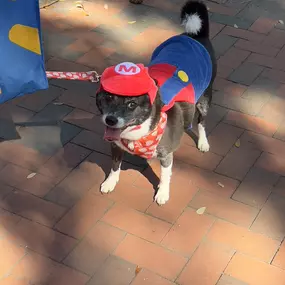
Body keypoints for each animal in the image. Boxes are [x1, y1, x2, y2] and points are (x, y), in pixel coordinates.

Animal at [95, 0, 215, 204]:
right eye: (109, 97)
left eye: (131, 104)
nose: (110, 120)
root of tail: (194, 36)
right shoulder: (115, 146)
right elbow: (115, 166)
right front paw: (110, 182)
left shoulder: (166, 155)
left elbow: (166, 176)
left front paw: (163, 193)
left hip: (205, 98)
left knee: (202, 121)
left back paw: (203, 142)